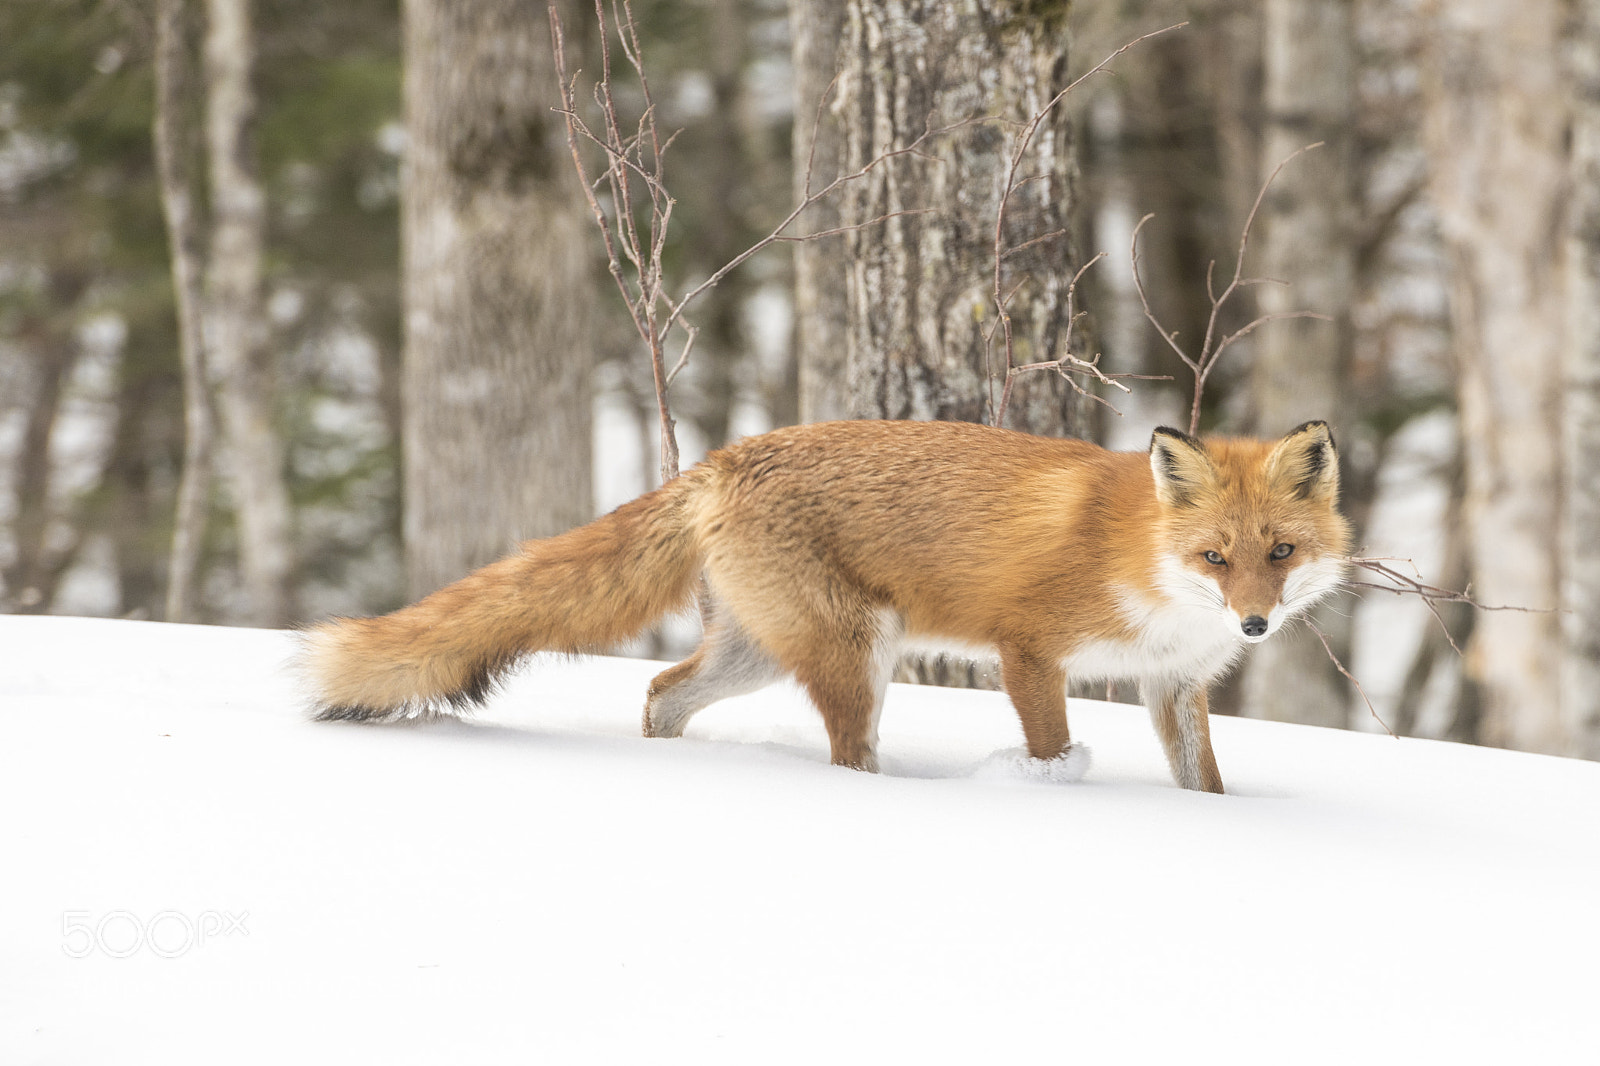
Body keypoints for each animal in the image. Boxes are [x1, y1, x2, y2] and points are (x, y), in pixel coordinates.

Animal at [300, 418, 1351, 793]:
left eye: (1280, 554)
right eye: (1215, 558)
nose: (1254, 623)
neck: (1142, 559)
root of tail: (724, 457)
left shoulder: (1173, 685)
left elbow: (1204, 783)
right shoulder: (1027, 651)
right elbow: (1054, 750)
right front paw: (1052, 797)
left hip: (758, 653)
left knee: (660, 692)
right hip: (856, 651)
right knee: (848, 755)